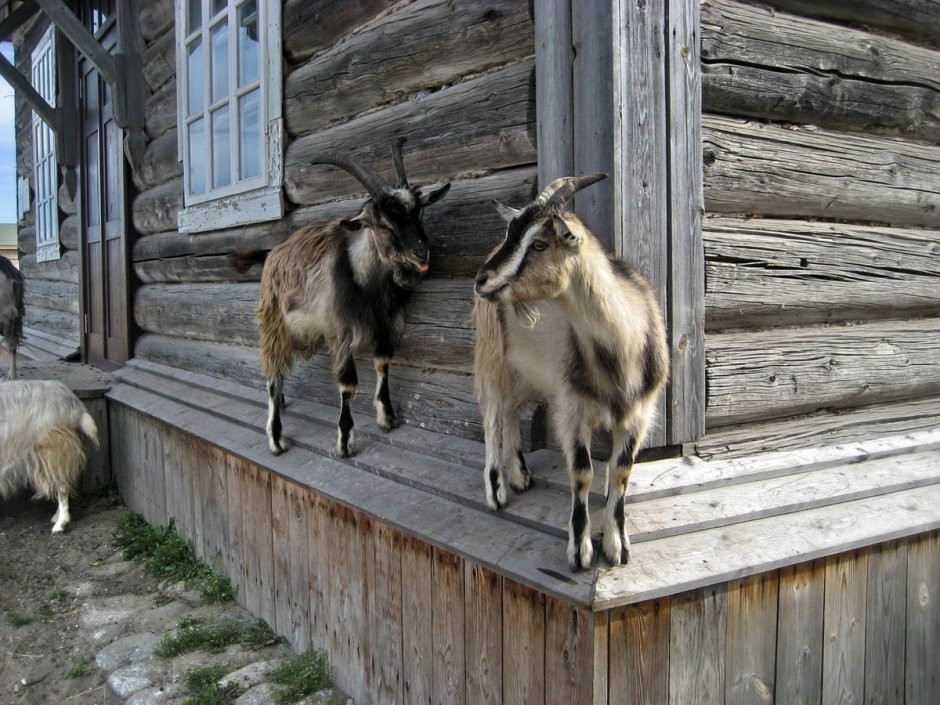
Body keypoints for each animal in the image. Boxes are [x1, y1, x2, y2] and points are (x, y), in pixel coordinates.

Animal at [233, 139, 450, 457]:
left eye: (419, 213)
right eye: (383, 224)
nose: (421, 255)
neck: (367, 283)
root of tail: (272, 254)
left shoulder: (385, 324)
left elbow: (383, 363)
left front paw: (387, 417)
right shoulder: (341, 331)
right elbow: (348, 384)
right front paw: (345, 441)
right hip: (274, 323)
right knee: (272, 376)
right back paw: (276, 437)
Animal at [473, 174, 669, 571]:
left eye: (540, 243)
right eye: (512, 233)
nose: (482, 280)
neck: (622, 347)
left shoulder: (639, 413)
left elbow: (621, 472)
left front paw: (617, 545)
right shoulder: (573, 409)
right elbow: (582, 473)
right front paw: (580, 551)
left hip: (528, 371)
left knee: (511, 409)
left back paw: (520, 476)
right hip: (491, 356)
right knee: (492, 415)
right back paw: (497, 489)